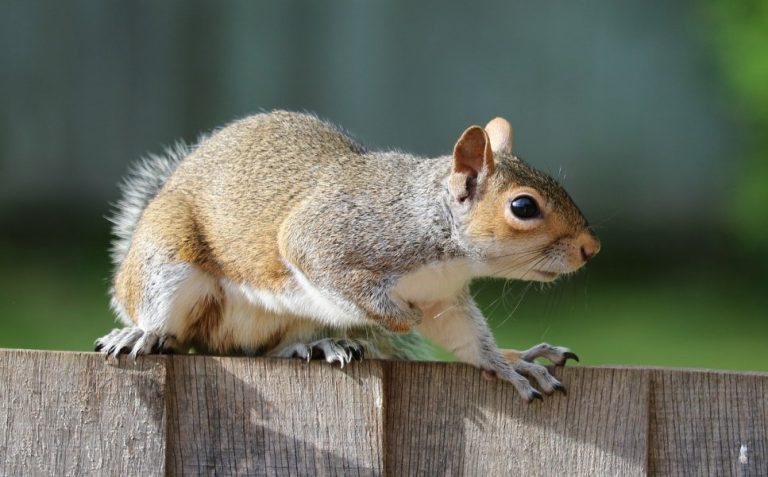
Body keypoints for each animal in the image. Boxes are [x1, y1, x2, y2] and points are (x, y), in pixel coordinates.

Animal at [96, 111, 600, 402]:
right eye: (523, 207)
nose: (590, 249)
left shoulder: (443, 298)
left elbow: (466, 339)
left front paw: (509, 363)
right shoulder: (328, 237)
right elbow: (329, 271)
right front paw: (399, 317)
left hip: (287, 322)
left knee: (262, 349)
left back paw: (315, 345)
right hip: (166, 260)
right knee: (168, 323)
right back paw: (142, 334)